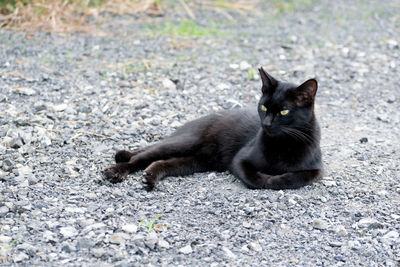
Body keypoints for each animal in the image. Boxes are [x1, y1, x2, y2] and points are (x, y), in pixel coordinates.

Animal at [103, 68, 322, 191]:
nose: (266, 124)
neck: (284, 144)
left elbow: (297, 177)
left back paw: (150, 178)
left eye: (284, 111)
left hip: (197, 161)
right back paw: (116, 171)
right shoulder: (239, 160)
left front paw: (278, 179)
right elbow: (254, 177)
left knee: (160, 162)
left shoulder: (317, 169)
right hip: (185, 142)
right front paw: (268, 180)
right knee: (141, 157)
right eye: (264, 108)